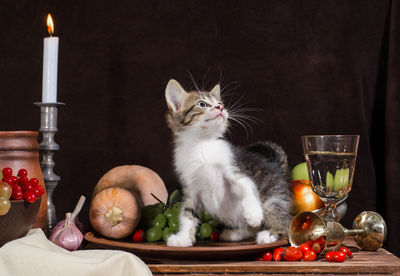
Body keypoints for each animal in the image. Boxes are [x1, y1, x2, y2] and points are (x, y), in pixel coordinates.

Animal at [164, 79, 292, 246]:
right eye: (202, 104)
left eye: (219, 103)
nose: (220, 108)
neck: (202, 145)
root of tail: (278, 169)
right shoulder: (191, 188)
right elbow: (188, 212)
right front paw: (183, 238)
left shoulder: (234, 169)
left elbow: (246, 186)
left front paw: (253, 213)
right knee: (252, 229)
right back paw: (234, 234)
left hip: (273, 199)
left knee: (284, 221)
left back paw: (270, 233)